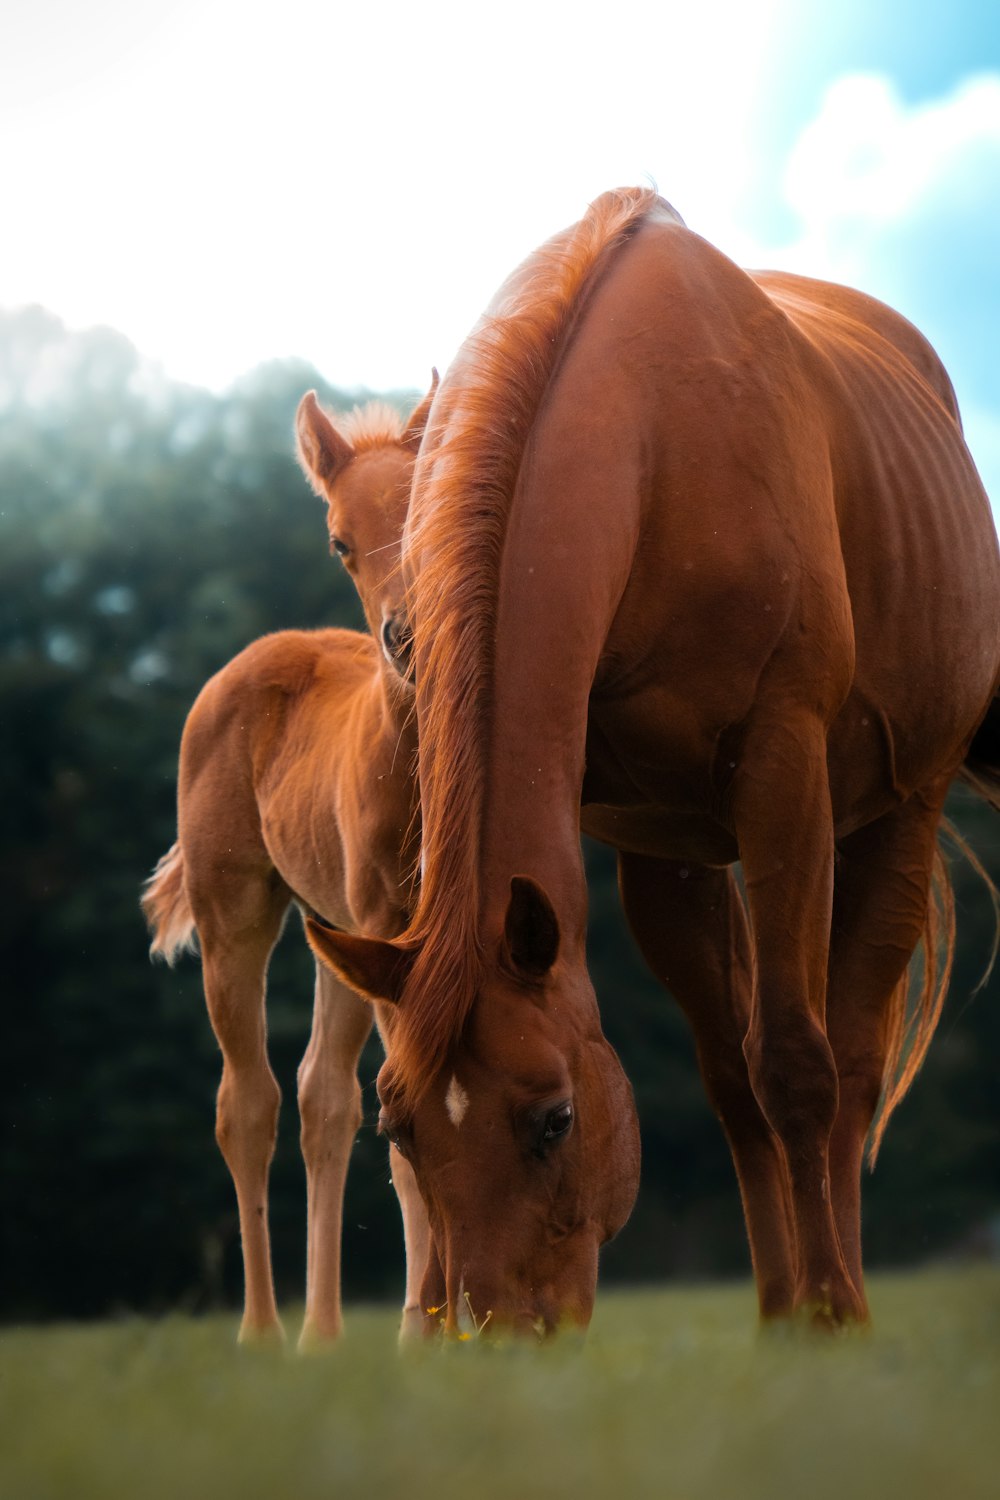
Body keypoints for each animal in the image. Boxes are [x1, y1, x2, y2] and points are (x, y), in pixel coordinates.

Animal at [140, 378, 434, 1350]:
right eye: (338, 539)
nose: (406, 638)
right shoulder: (393, 932)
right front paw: (424, 1335)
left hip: (336, 930)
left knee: (324, 1100)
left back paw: (325, 1337)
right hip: (236, 914)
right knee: (251, 1103)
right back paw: (265, 1335)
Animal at [308, 184, 995, 1338]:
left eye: (554, 1119)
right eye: (397, 1127)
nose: (499, 1335)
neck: (656, 453)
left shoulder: (784, 777)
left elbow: (795, 1065)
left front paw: (826, 1318)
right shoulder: (651, 847)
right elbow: (732, 1085)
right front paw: (781, 1315)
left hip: (898, 811)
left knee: (850, 1065)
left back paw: (844, 1299)